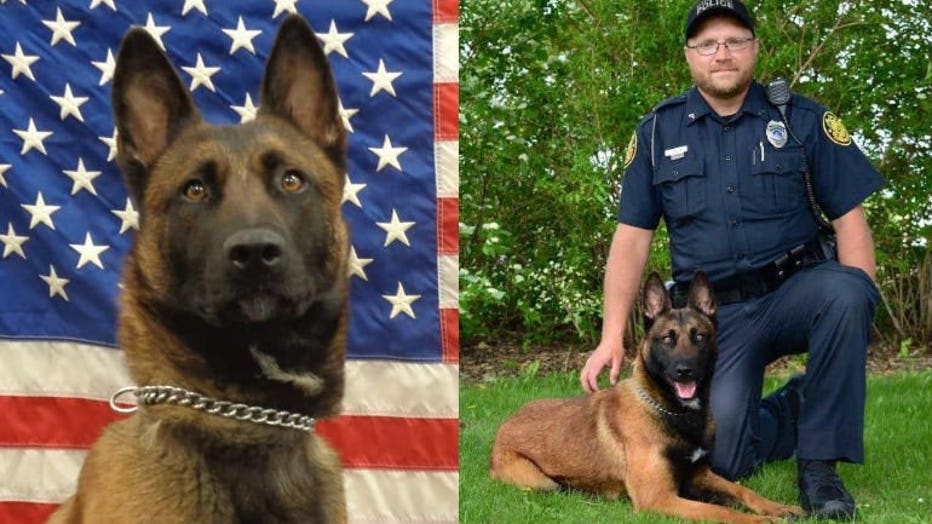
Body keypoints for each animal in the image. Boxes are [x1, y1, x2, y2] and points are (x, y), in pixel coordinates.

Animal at [488, 274, 800, 524]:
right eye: (667, 339)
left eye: (699, 336)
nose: (684, 371)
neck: (673, 412)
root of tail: (504, 426)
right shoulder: (658, 498)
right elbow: (722, 512)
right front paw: (762, 521)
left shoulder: (699, 475)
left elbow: (743, 490)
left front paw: (777, 507)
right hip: (541, 482)